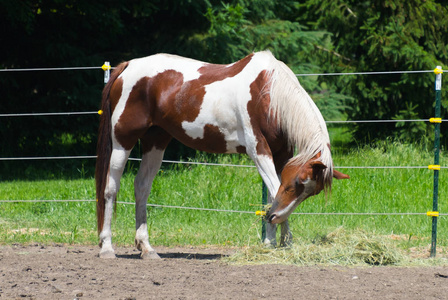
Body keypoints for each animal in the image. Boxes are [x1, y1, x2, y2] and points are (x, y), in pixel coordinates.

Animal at [95, 50, 350, 258]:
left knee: (142, 188)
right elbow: (274, 189)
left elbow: (271, 194)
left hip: (155, 141)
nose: (275, 217)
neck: (268, 94)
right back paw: (107, 247)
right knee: (111, 188)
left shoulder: (281, 154)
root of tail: (127, 66)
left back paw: (146, 248)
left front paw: (280, 242)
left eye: (310, 192)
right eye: (296, 184)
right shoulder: (258, 150)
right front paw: (274, 242)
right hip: (122, 141)